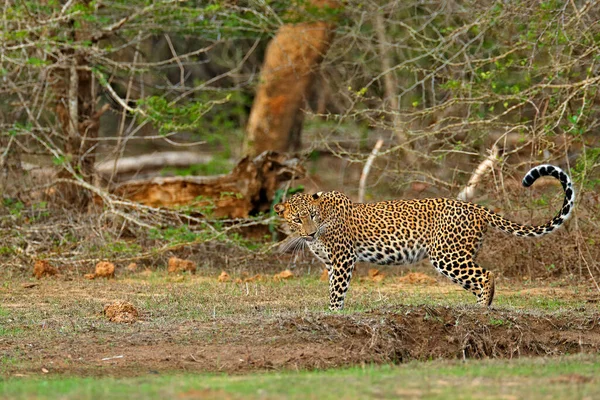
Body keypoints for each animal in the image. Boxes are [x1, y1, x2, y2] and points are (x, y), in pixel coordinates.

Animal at [274, 164, 576, 310]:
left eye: (312, 215)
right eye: (297, 218)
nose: (310, 232)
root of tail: (474, 206)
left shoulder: (342, 259)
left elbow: (337, 290)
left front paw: (334, 312)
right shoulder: (330, 263)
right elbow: (332, 287)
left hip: (446, 255)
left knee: (486, 275)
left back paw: (481, 311)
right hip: (460, 254)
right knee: (478, 279)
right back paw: (481, 307)